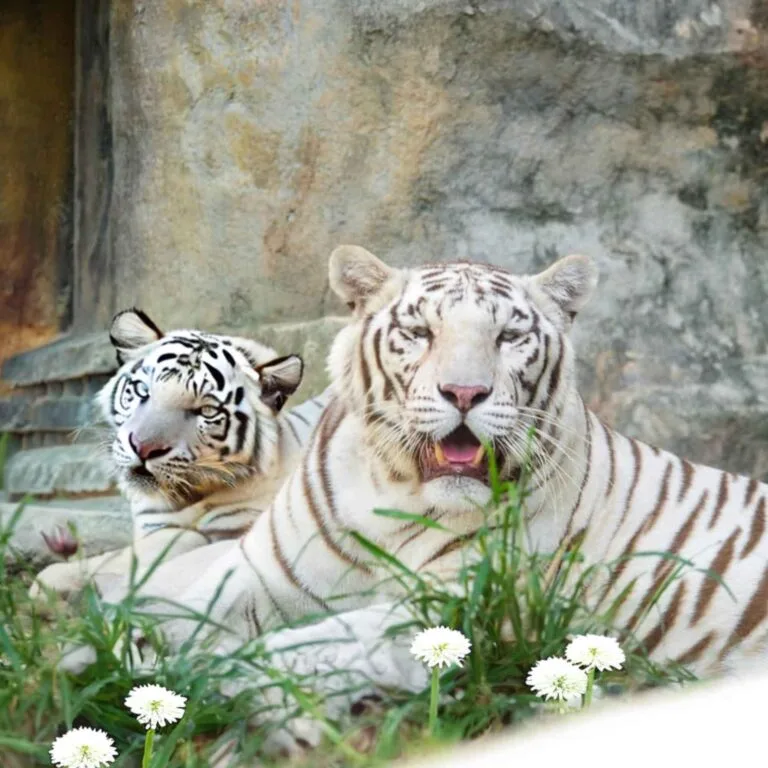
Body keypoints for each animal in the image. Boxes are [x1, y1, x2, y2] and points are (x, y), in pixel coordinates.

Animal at [83, 247, 768, 754]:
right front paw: (102, 659)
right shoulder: (258, 572)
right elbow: (181, 610)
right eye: (419, 332)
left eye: (510, 336)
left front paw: (233, 685)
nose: (464, 392)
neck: (391, 490)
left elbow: (318, 640)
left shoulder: (455, 601)